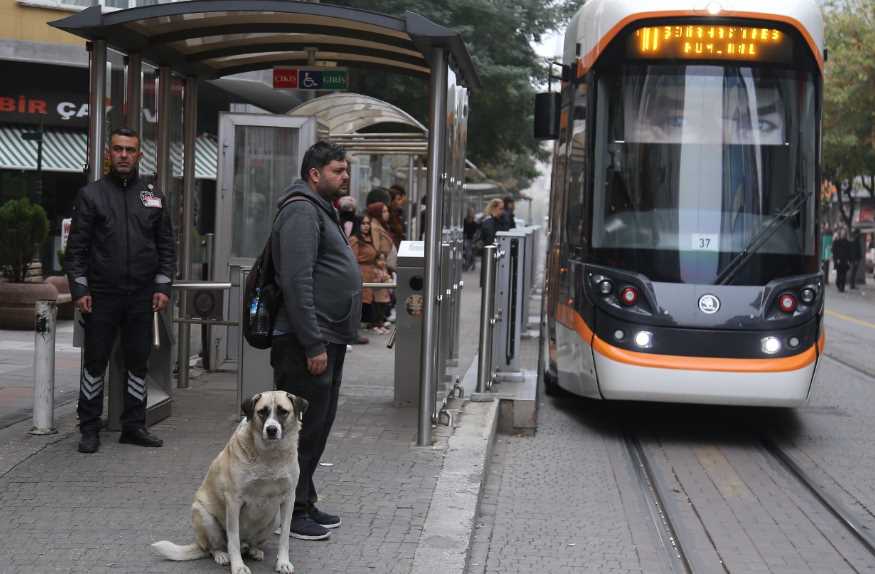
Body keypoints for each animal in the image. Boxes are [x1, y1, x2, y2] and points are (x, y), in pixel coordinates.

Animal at [153, 392, 308, 574]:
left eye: (283, 411)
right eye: (262, 411)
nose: (271, 430)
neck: (269, 456)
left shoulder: (288, 499)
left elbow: (284, 537)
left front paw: (283, 562)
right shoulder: (234, 501)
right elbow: (233, 539)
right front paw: (238, 566)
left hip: (275, 517)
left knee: (250, 543)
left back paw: (254, 550)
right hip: (203, 515)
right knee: (214, 547)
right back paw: (221, 555)